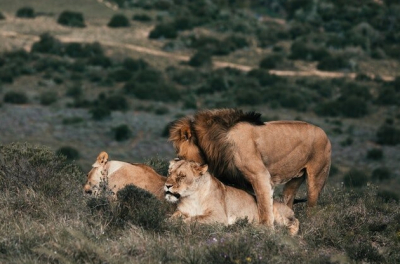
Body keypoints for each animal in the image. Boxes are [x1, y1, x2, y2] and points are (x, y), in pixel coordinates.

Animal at [164, 159, 298, 235]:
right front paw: (170, 221)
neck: (191, 197)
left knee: (294, 221)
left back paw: (289, 234)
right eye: (169, 172)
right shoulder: (181, 211)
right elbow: (173, 217)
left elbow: (194, 219)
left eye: (181, 176)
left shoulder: (218, 216)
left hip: (275, 211)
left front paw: (179, 223)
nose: (167, 185)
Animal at [169, 109, 332, 227]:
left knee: (312, 208)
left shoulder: (261, 176)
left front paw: (264, 230)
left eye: (180, 154)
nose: (175, 159)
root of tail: (324, 133)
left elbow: (264, 206)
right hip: (292, 183)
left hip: (316, 179)